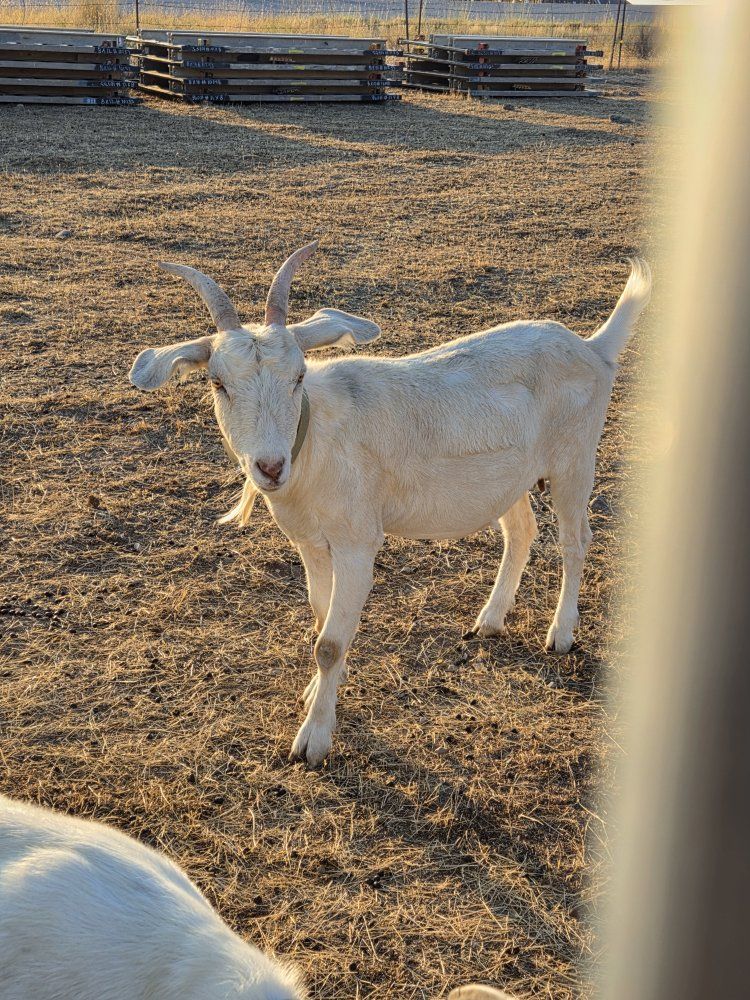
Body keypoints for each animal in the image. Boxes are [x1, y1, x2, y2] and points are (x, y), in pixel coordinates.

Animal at [130, 245, 651, 765]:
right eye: (218, 384)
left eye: (298, 376)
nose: (271, 467)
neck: (315, 442)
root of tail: (593, 349)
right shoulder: (310, 543)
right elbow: (320, 615)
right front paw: (317, 691)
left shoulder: (358, 541)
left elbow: (329, 644)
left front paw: (313, 739)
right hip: (509, 478)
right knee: (521, 532)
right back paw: (490, 620)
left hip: (574, 461)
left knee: (575, 541)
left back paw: (560, 633)